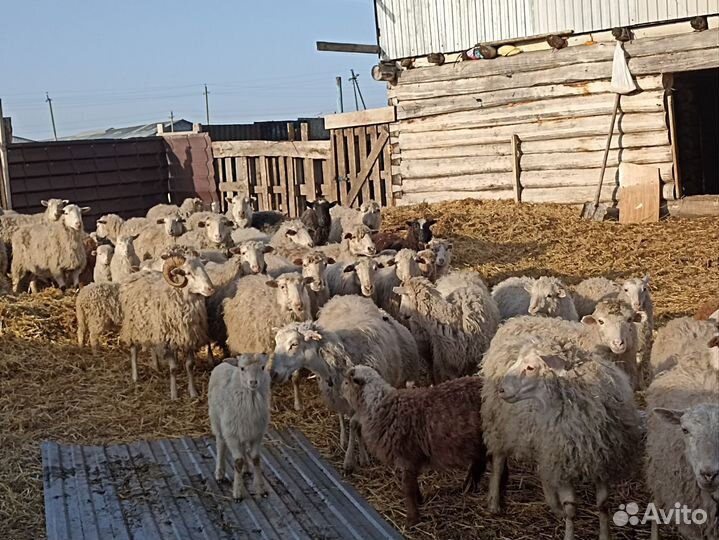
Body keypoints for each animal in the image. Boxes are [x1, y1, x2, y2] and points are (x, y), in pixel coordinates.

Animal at [119, 249, 215, 400]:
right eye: (188, 273)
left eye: (203, 268)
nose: (211, 289)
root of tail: (136, 274)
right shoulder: (168, 341)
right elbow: (173, 369)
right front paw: (174, 395)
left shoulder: (188, 338)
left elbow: (190, 365)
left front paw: (193, 392)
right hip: (133, 325)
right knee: (133, 350)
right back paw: (135, 377)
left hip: (152, 328)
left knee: (152, 347)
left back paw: (156, 366)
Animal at [208, 353, 271, 501]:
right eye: (242, 368)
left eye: (262, 367)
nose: (253, 382)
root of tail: (223, 363)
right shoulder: (232, 435)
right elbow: (238, 461)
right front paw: (237, 492)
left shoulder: (257, 434)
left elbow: (255, 458)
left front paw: (261, 488)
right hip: (217, 419)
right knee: (220, 443)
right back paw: (220, 473)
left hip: (242, 429)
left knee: (243, 448)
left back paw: (246, 469)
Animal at [271, 294, 421, 472]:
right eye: (276, 342)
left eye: (293, 344)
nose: (273, 373)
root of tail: (346, 296)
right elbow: (352, 423)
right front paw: (353, 455)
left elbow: (356, 426)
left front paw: (358, 457)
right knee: (341, 414)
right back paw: (343, 438)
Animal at [342, 365, 486, 526]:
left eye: (346, 382)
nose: (340, 391)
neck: (376, 406)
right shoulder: (412, 460)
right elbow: (413, 484)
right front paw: (420, 501)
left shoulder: (408, 457)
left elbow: (408, 488)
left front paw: (412, 519)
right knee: (480, 463)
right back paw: (468, 486)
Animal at [485, 336, 641, 540]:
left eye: (531, 367)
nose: (501, 389)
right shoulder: (564, 461)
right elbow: (571, 509)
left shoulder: (600, 460)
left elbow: (603, 504)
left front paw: (604, 535)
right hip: (500, 426)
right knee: (498, 461)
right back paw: (494, 503)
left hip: (544, 444)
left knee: (544, 471)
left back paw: (554, 505)